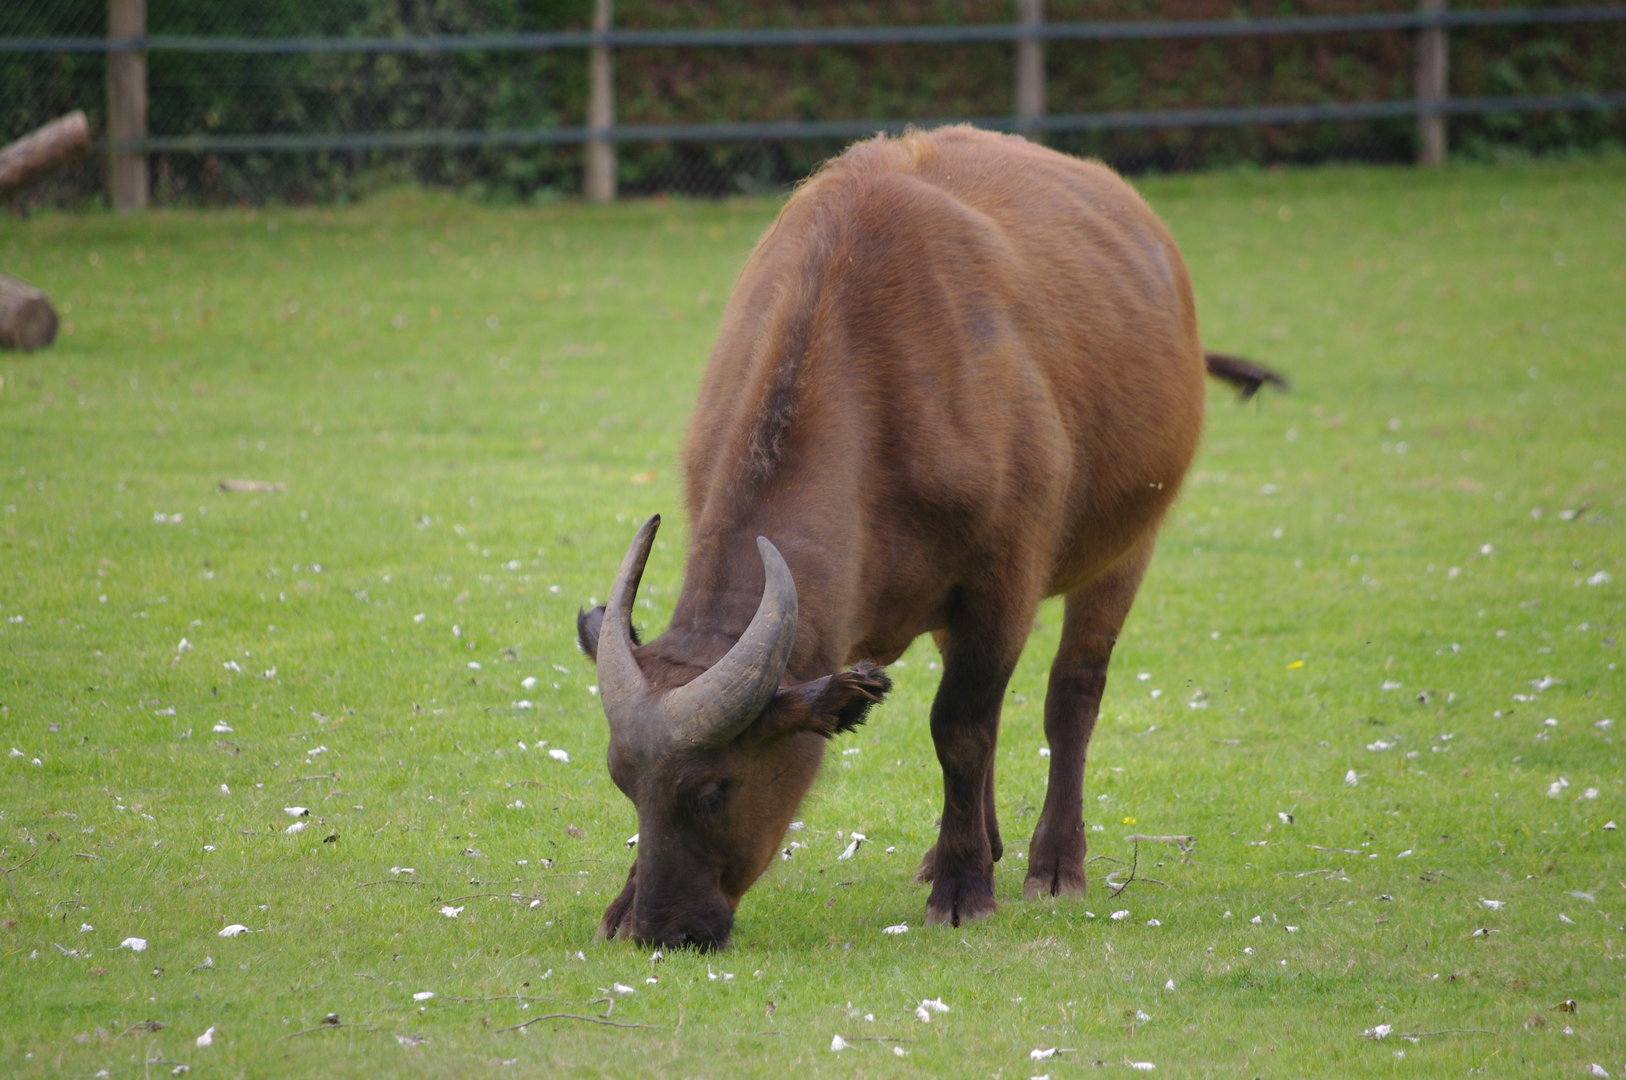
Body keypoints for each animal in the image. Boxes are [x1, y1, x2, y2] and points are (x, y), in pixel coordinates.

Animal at [578, 125, 1281, 949]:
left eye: (715, 790)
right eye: (625, 783)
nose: (664, 927)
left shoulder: (1002, 587)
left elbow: (961, 728)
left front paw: (964, 886)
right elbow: (970, 726)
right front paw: (622, 901)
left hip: (1127, 544)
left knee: (1072, 694)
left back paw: (1051, 860)